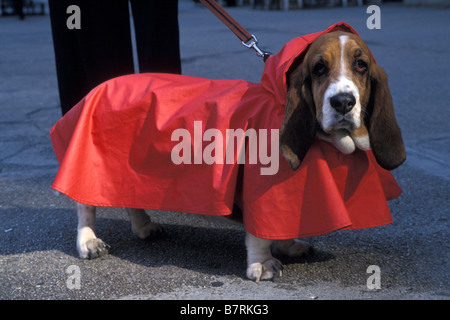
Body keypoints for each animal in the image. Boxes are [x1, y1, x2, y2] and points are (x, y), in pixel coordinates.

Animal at [51, 24, 404, 282]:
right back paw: (88, 241)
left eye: (361, 65)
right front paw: (263, 264)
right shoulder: (263, 196)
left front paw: (289, 246)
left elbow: (285, 226)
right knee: (85, 204)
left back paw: (144, 227)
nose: (342, 102)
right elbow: (260, 233)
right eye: (319, 68)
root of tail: (96, 89)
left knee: (131, 197)